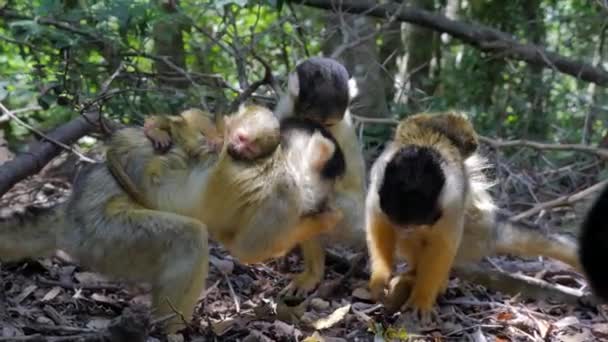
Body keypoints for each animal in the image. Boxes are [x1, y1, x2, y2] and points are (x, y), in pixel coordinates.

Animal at [0, 103, 342, 332]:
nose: (324, 200)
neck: (284, 161)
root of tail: (70, 211)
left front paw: (312, 268)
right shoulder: (283, 193)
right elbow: (250, 250)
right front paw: (326, 220)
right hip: (101, 233)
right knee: (187, 237)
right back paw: (169, 330)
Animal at [368, 112, 580, 320]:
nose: (407, 227)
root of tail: (490, 229)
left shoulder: (451, 199)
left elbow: (443, 244)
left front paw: (422, 297)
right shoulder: (379, 182)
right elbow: (380, 226)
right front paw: (381, 276)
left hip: (474, 232)